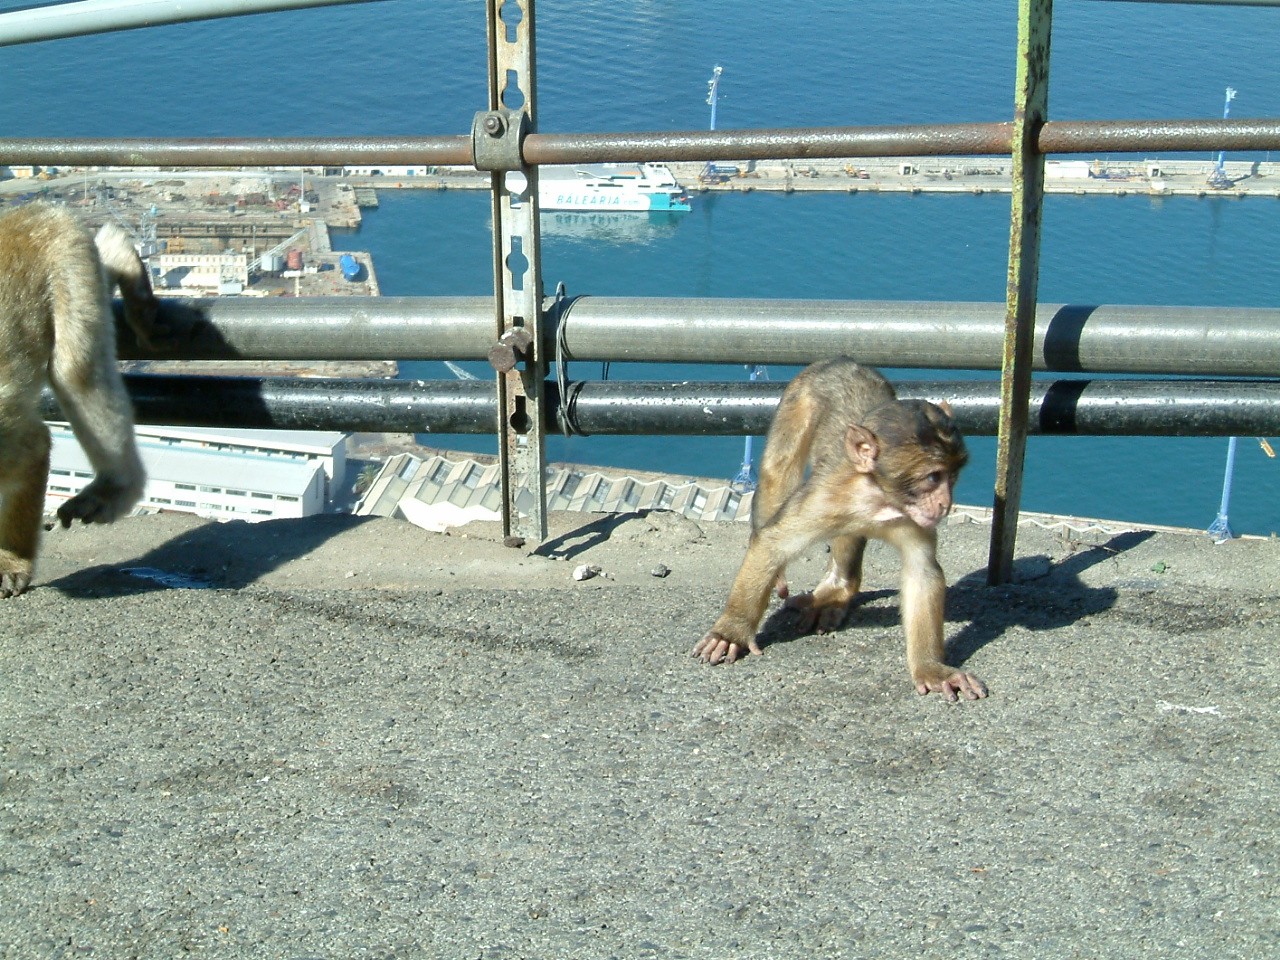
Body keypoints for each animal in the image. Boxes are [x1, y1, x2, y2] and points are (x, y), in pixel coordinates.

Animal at [0, 202, 160, 598]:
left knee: (77, 371)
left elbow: (35, 446)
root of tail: (29, 211)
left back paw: (114, 489)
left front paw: (12, 562)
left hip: (68, 259)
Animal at [692, 358, 986, 701]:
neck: (879, 497)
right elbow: (772, 542)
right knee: (778, 474)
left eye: (953, 475)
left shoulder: (913, 520)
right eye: (933, 477)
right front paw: (732, 632)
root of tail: (843, 359)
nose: (945, 503)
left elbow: (922, 571)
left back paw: (837, 591)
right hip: (796, 402)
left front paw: (931, 668)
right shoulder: (827, 497)